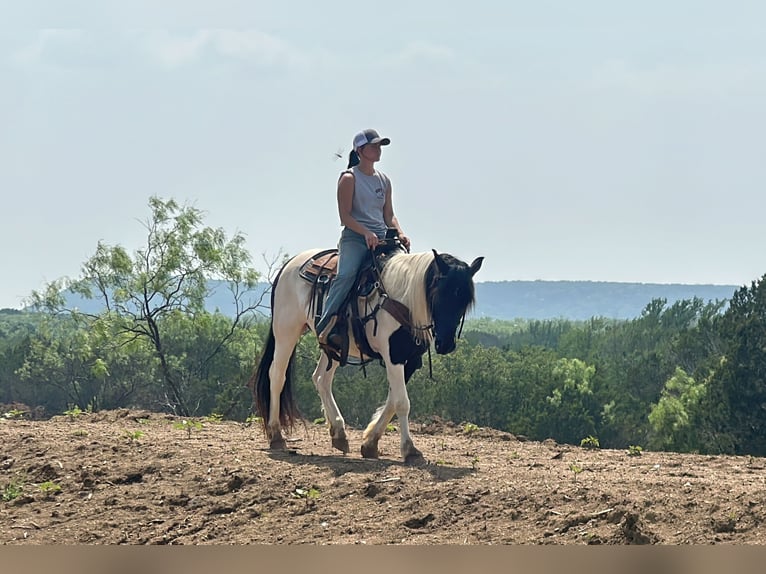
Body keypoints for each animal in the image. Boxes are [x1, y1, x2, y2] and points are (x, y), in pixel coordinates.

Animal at [249, 243, 484, 464]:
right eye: (440, 293)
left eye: (465, 300)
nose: (446, 344)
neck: (402, 298)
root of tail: (289, 264)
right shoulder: (394, 356)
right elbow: (402, 402)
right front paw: (410, 450)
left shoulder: (410, 360)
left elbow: (392, 400)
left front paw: (370, 443)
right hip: (286, 331)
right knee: (277, 376)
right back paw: (276, 435)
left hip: (334, 346)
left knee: (321, 378)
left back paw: (339, 433)